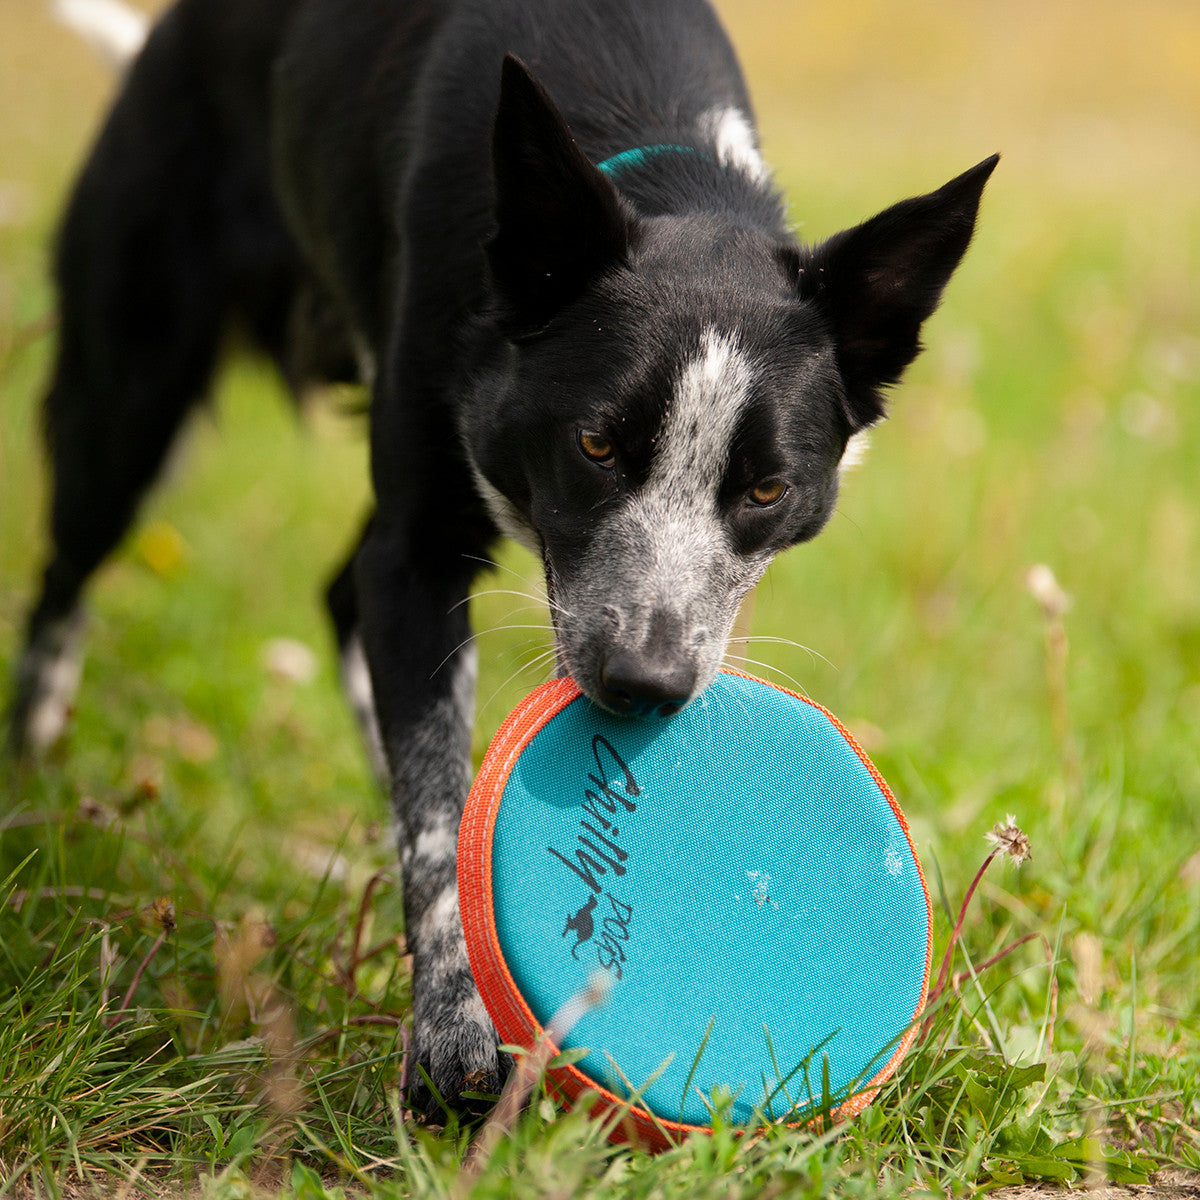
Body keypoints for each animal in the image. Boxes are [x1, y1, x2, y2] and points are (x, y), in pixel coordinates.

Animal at [11, 0, 993, 1108]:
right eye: (596, 444)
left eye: (767, 490)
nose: (646, 684)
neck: (655, 147)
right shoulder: (418, 549)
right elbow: (438, 822)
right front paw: (452, 1036)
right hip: (127, 398)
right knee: (65, 575)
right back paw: (35, 767)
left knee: (336, 599)